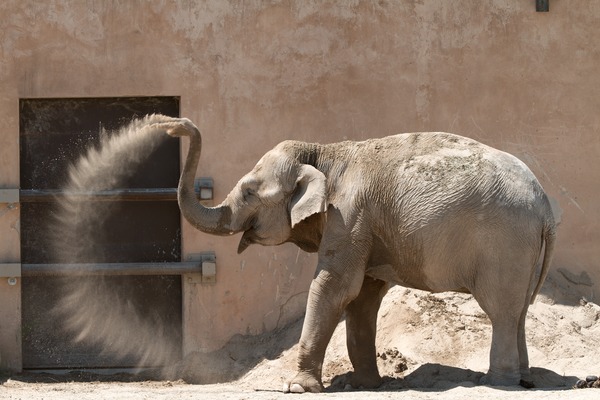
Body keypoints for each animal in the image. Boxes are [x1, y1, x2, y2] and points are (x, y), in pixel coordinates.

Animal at [152, 114, 556, 392]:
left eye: (250, 192)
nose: (172, 124)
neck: (323, 151)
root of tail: (546, 207)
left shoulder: (349, 215)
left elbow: (335, 286)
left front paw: (296, 387)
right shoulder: (365, 225)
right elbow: (363, 296)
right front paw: (365, 385)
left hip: (504, 242)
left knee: (501, 309)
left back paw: (497, 382)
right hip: (520, 248)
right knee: (518, 310)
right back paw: (523, 378)